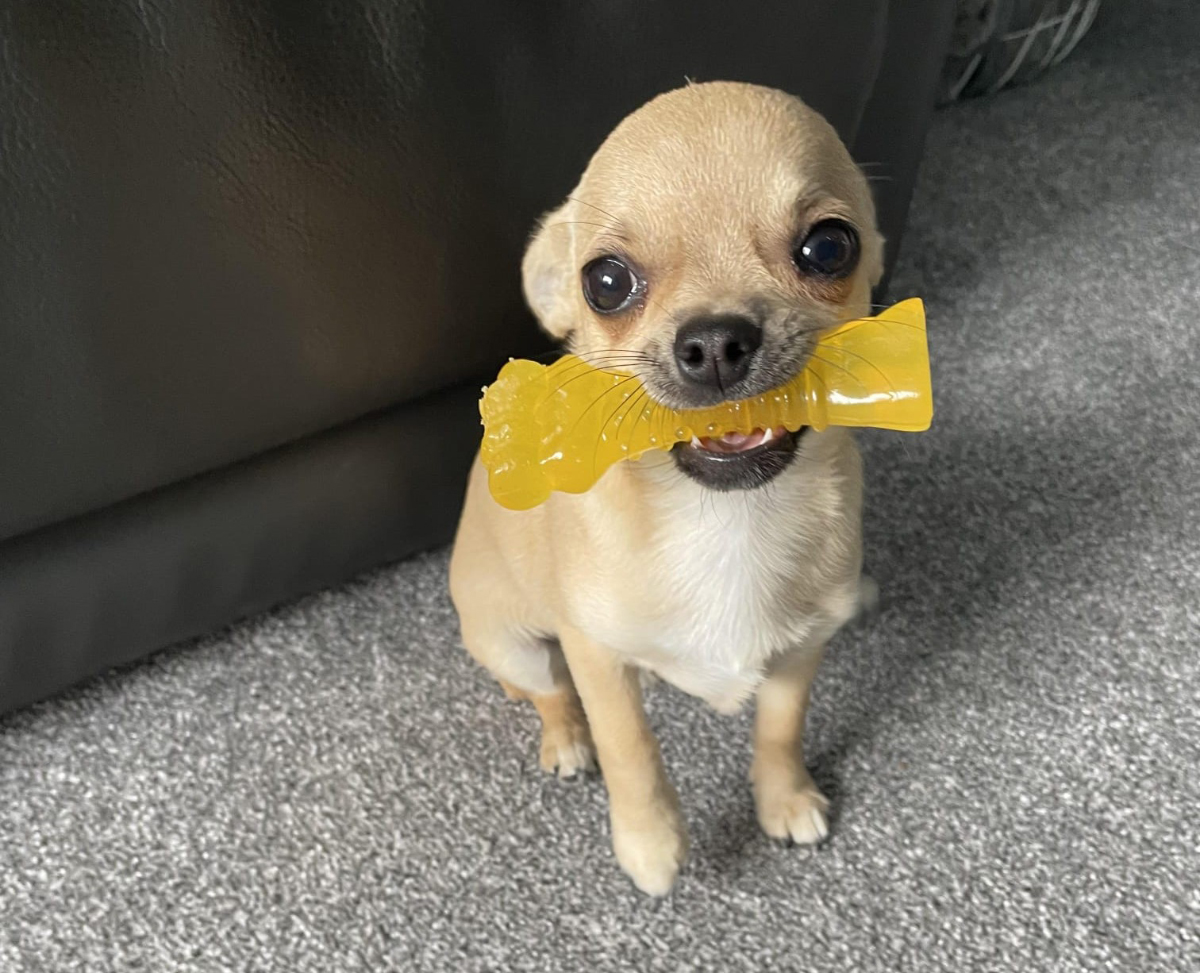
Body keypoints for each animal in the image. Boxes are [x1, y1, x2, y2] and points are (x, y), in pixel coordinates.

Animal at [451, 83, 883, 897]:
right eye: (606, 282)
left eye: (829, 247)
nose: (714, 341)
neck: (727, 517)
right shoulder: (596, 656)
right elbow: (631, 748)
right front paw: (650, 843)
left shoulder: (800, 651)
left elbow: (781, 727)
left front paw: (784, 798)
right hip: (516, 645)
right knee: (552, 695)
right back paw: (566, 740)